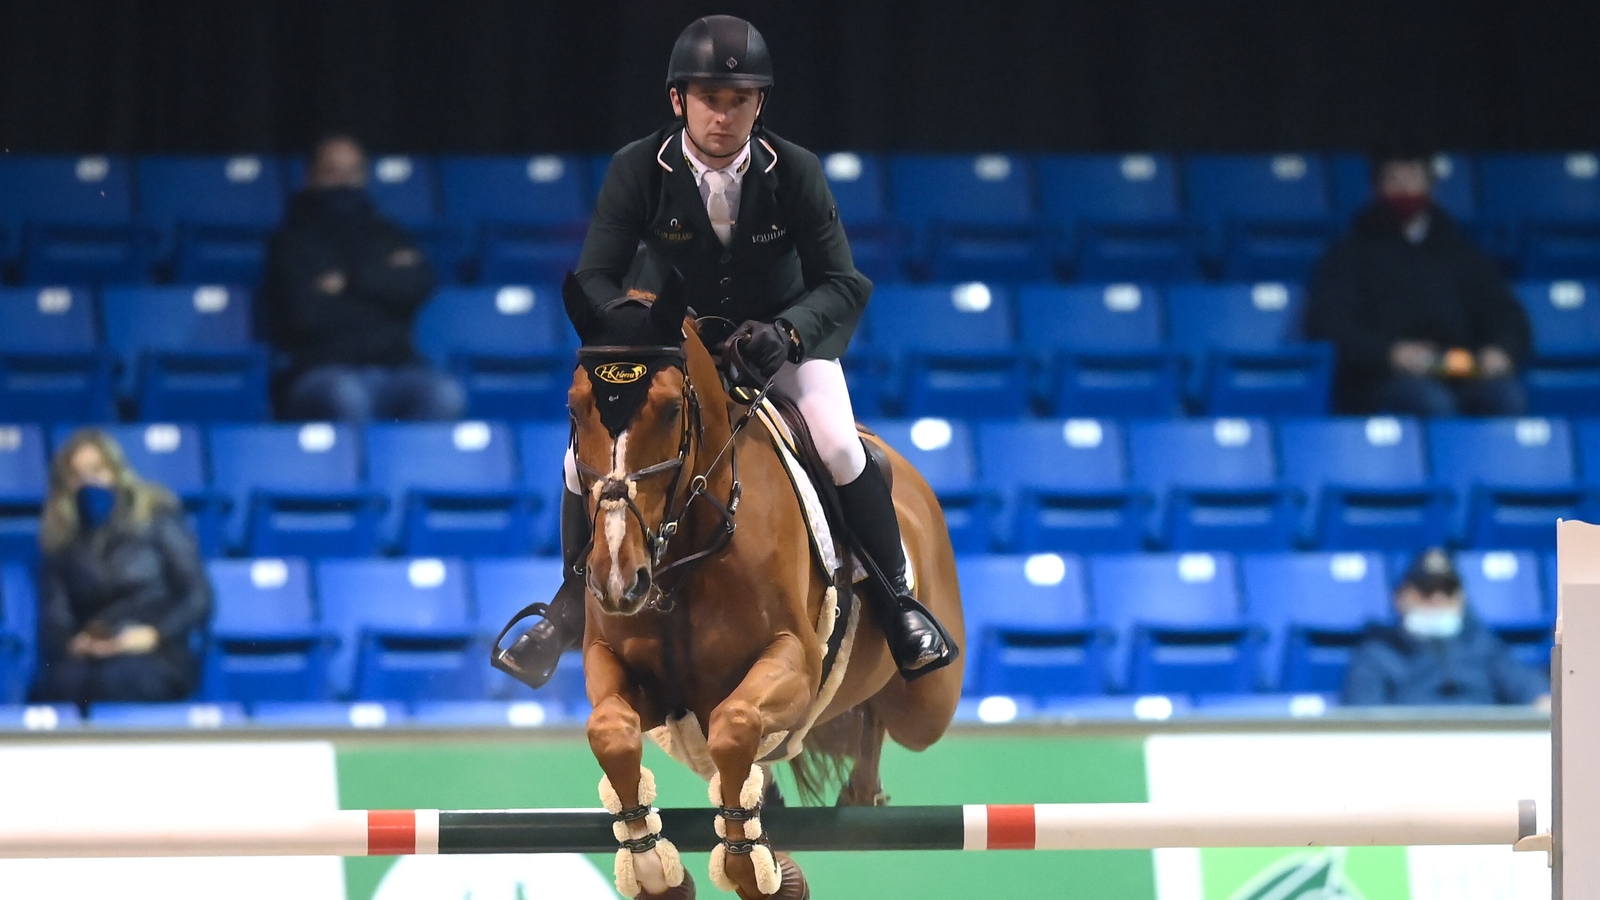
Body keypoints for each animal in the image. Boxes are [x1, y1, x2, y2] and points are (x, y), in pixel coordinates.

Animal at [563, 275, 960, 896]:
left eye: (671, 409)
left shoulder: (794, 661)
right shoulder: (618, 665)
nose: (618, 581)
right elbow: (610, 730)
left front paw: (745, 861)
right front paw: (652, 865)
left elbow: (735, 725)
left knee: (886, 717)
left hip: (926, 706)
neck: (681, 560)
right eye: (575, 408)